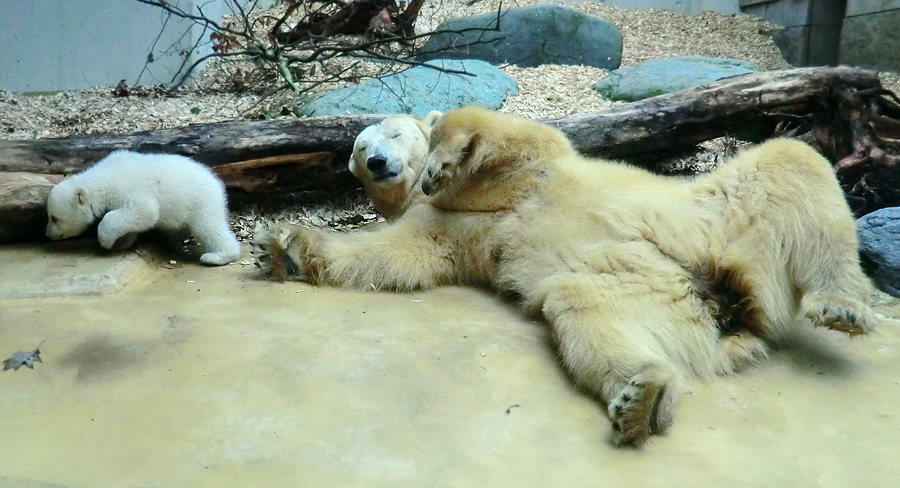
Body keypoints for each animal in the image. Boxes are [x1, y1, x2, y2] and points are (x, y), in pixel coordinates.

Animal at [47, 152, 241, 266]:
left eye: (55, 218)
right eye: (49, 215)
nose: (47, 235)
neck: (102, 179)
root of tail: (216, 182)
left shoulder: (126, 190)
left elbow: (145, 212)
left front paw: (106, 242)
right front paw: (122, 242)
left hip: (200, 201)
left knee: (208, 227)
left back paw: (217, 256)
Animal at [256, 106, 876, 446]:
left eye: (392, 134)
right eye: (361, 149)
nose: (377, 162)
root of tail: (732, 298)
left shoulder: (528, 170)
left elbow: (507, 136)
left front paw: (443, 156)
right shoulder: (450, 230)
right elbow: (395, 254)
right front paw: (284, 250)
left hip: (719, 212)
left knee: (794, 161)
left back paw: (843, 304)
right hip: (640, 286)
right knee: (590, 315)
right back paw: (642, 395)